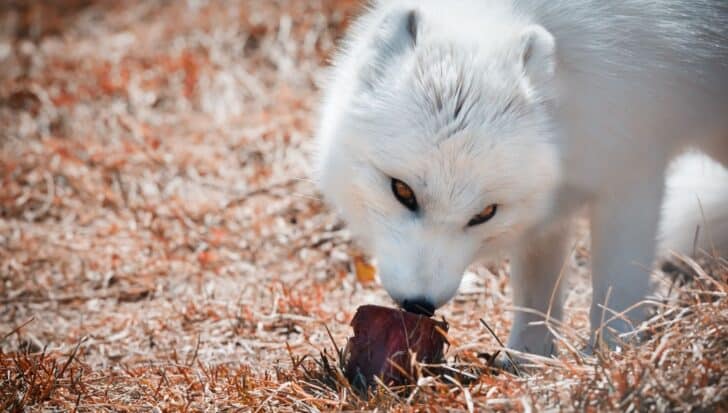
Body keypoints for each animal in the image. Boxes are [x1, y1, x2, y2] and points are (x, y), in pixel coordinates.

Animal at [314, 0, 728, 354]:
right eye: (402, 191)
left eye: (484, 214)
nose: (419, 305)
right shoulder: (551, 206)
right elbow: (537, 291)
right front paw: (526, 357)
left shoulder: (633, 172)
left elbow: (618, 289)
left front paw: (610, 359)